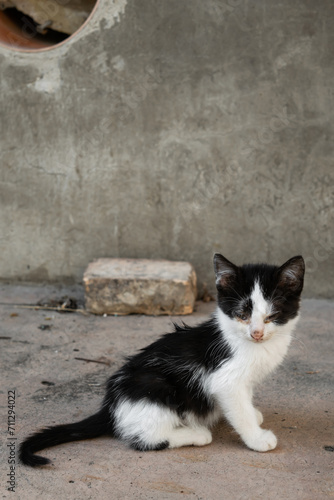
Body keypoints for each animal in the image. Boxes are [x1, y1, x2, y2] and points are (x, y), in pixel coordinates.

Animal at [18, 252, 306, 466]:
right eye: (242, 314)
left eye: (272, 316)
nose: (256, 333)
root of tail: (111, 405)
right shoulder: (225, 380)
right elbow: (239, 410)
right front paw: (257, 438)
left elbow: (247, 400)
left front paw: (254, 413)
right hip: (155, 387)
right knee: (145, 439)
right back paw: (196, 434)